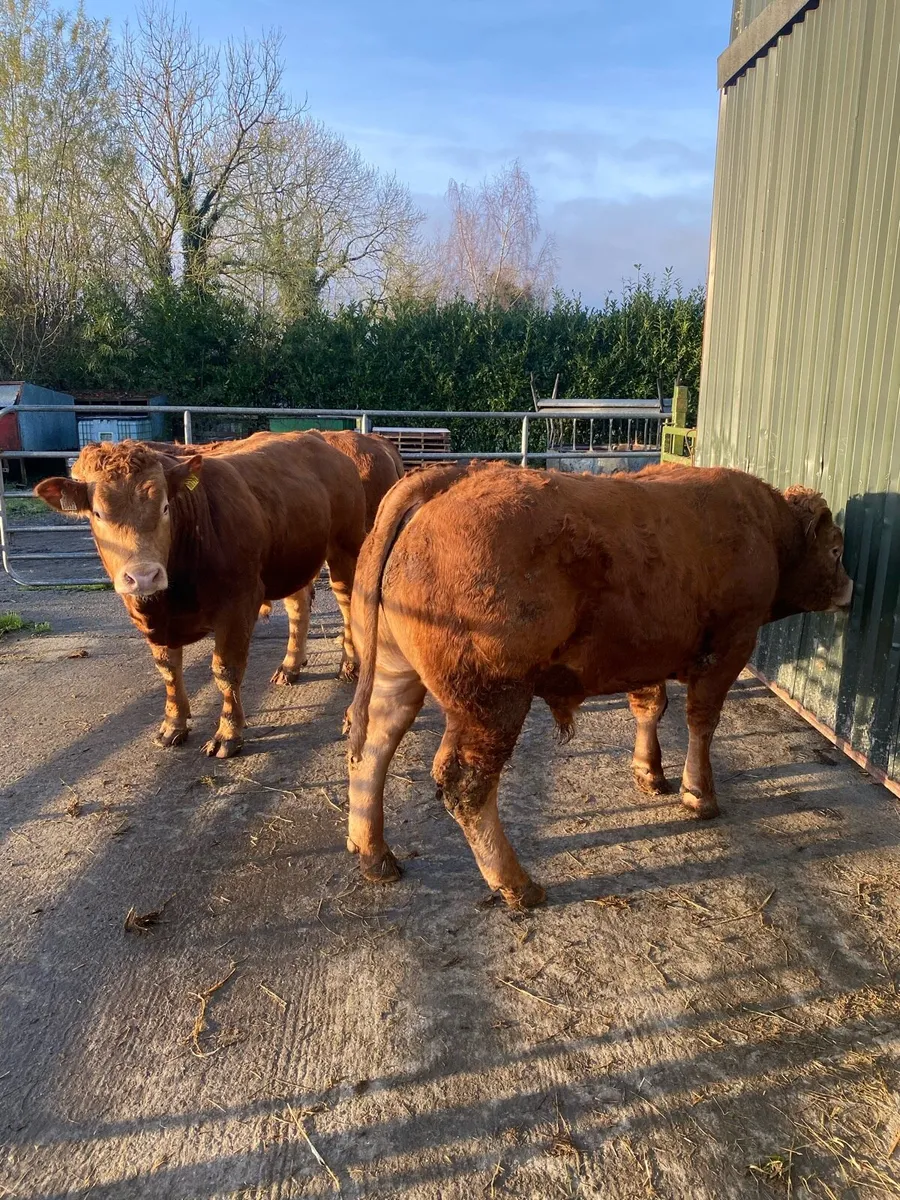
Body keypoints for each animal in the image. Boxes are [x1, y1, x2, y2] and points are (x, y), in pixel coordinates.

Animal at [35, 434, 367, 757]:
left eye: (165, 507)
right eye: (98, 513)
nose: (143, 576)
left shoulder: (238, 604)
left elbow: (226, 670)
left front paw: (228, 733)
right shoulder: (153, 621)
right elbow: (168, 670)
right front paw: (173, 724)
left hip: (345, 549)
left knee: (347, 603)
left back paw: (349, 665)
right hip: (293, 560)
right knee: (298, 607)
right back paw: (290, 666)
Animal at [344, 461, 854, 909]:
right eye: (835, 550)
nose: (850, 588)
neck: (766, 529)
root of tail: (449, 478)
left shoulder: (644, 654)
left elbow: (649, 706)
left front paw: (650, 772)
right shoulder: (731, 646)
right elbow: (702, 721)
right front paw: (699, 795)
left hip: (396, 671)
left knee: (372, 745)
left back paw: (374, 854)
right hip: (493, 703)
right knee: (466, 786)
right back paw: (517, 885)